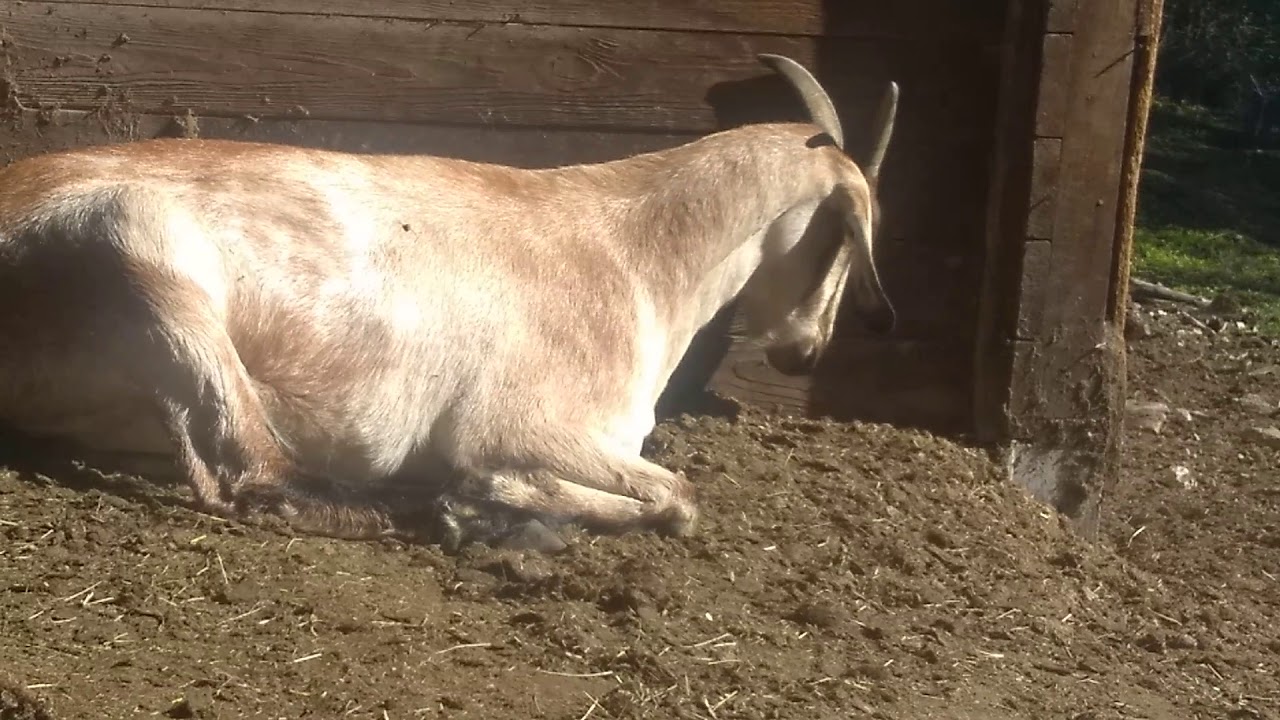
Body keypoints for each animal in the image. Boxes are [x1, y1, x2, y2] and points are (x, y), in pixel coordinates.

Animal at [0, 54, 898, 551]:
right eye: (845, 233)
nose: (806, 351)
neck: (633, 248)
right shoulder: (520, 423)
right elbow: (680, 498)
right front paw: (489, 498)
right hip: (141, 242)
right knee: (253, 474)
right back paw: (439, 511)